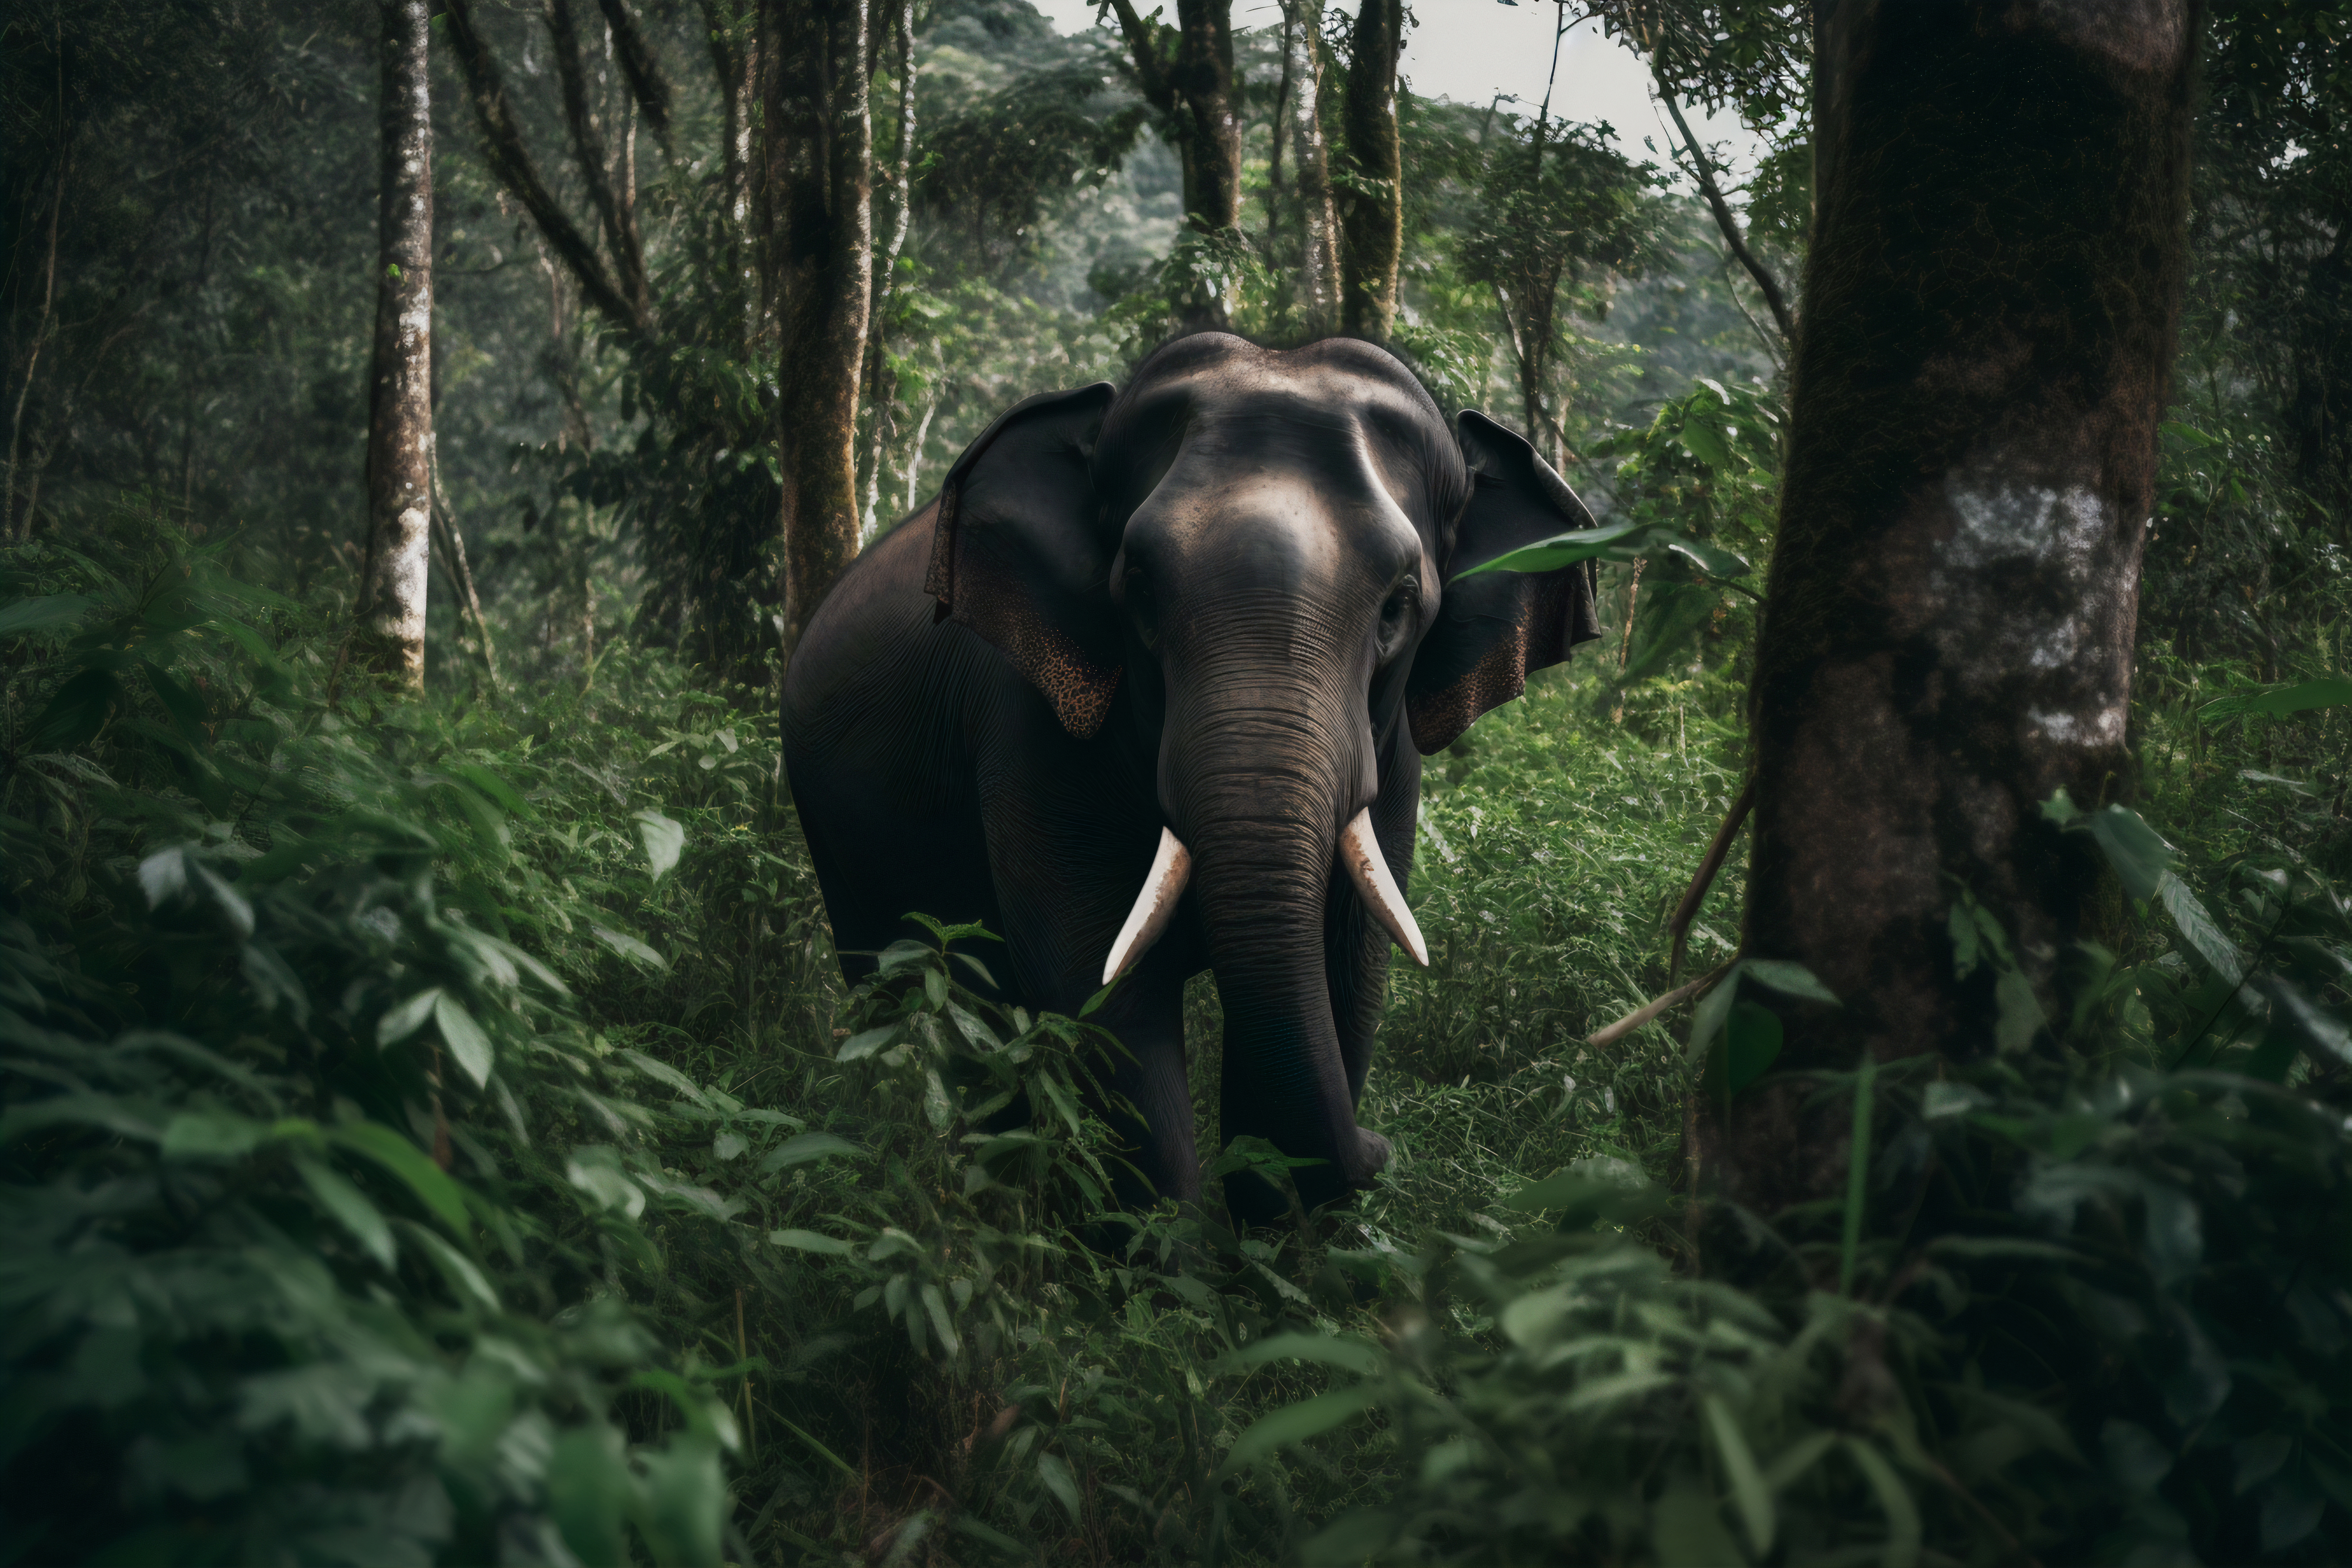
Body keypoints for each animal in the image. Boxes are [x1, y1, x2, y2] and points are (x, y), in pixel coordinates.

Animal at [782, 333, 1601, 1221]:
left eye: (1396, 605)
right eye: (1137, 590)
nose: (1382, 1147)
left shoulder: (1391, 768)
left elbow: (1344, 973)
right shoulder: (1031, 727)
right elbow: (1099, 993)